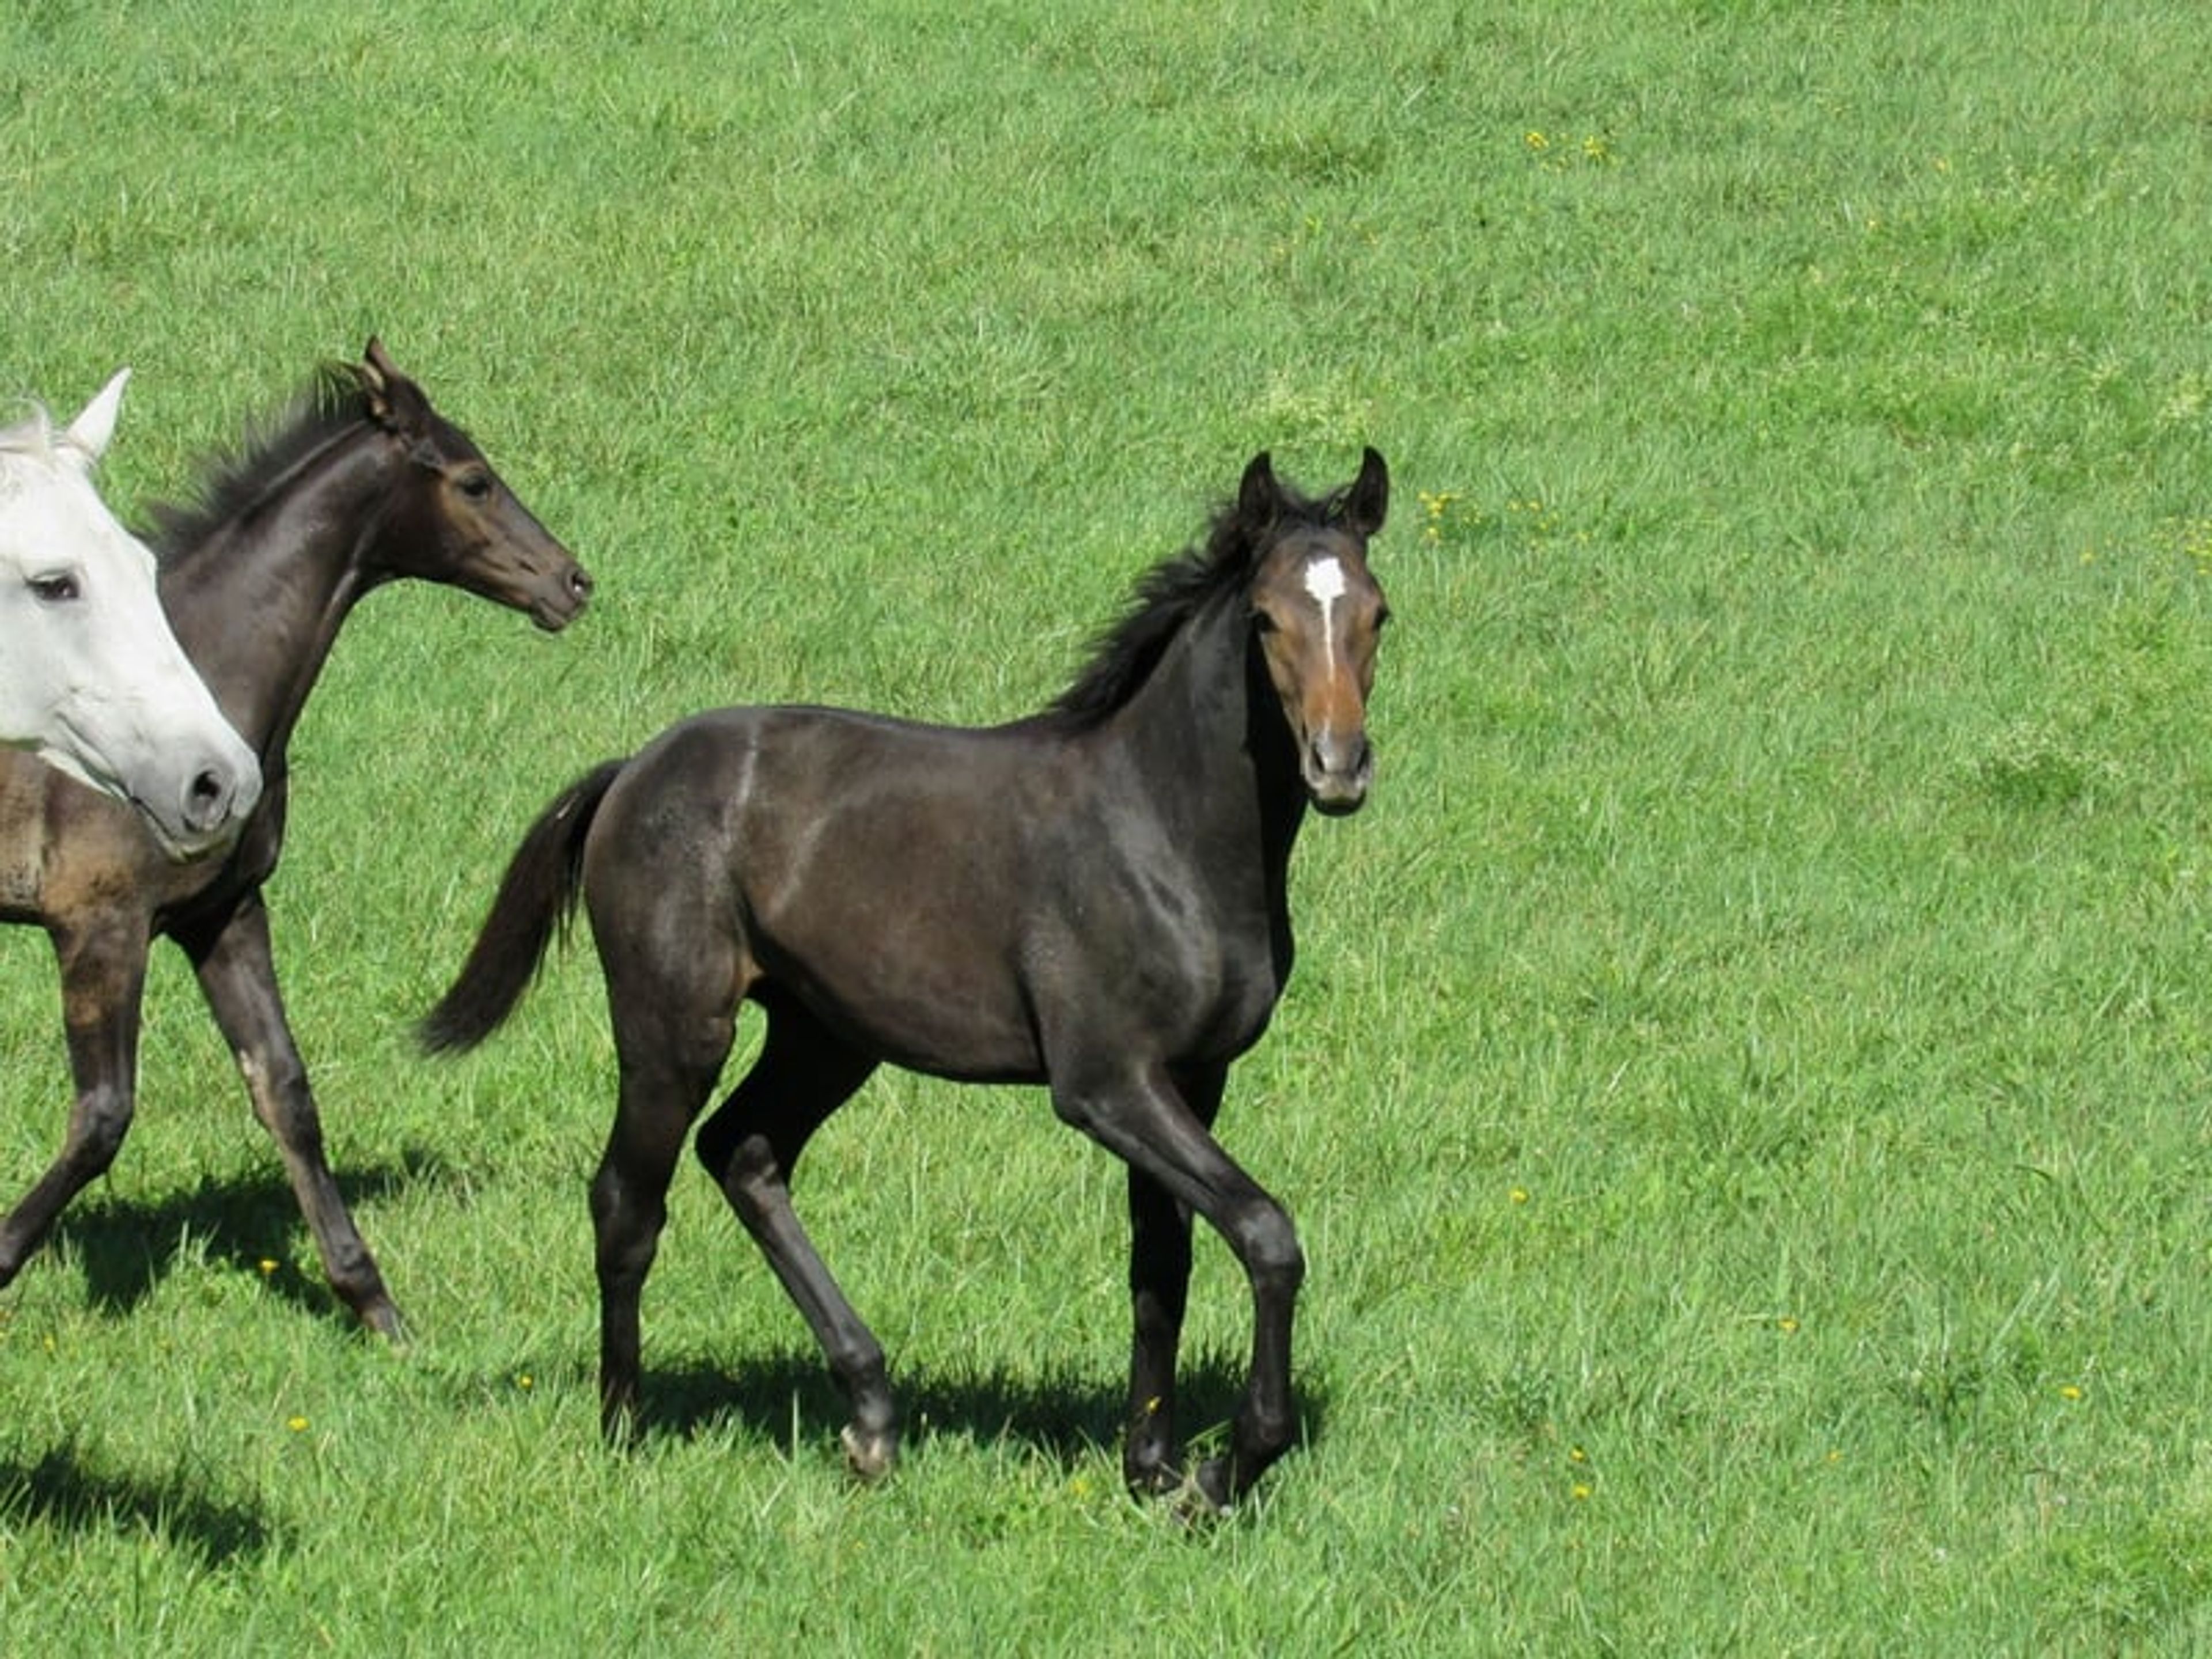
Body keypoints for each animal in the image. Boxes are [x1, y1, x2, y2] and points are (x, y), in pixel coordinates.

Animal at [421, 447, 1390, 1510]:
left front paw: (1151, 1468)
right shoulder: (1105, 1084)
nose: (1339, 766)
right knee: (628, 1199)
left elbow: (1160, 1265)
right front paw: (1231, 1466)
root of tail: (633, 769)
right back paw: (624, 1427)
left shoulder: (1191, 1079)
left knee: (745, 1151)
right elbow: (1265, 1233)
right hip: (674, 1027)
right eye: (1267, 619)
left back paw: (872, 1418)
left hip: (826, 1033)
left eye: (1378, 613)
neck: (1160, 827)